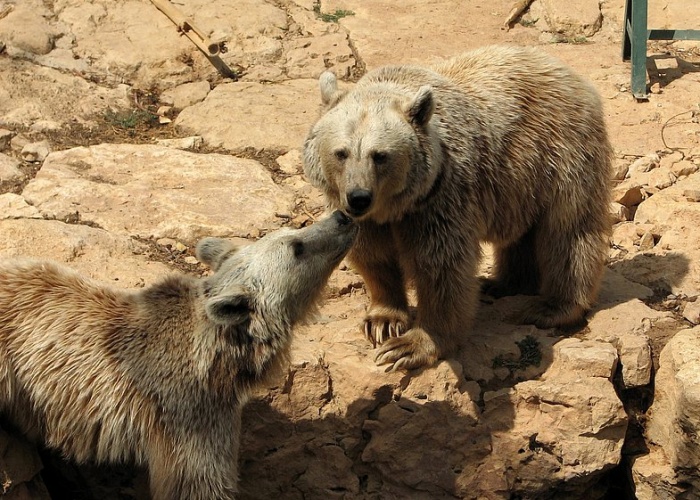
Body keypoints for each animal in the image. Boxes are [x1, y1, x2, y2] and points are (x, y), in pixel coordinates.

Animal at [0, 211, 356, 500]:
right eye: (297, 246)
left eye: (295, 229)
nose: (342, 216)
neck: (221, 360)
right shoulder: (188, 411)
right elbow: (196, 480)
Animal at [304, 45, 608, 372]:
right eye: (341, 153)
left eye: (380, 155)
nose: (358, 197)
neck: (396, 207)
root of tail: (567, 72)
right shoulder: (366, 218)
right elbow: (373, 256)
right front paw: (383, 322)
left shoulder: (440, 199)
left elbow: (442, 267)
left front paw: (410, 346)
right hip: (519, 186)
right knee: (522, 234)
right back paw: (504, 283)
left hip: (562, 154)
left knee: (569, 232)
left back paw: (551, 307)